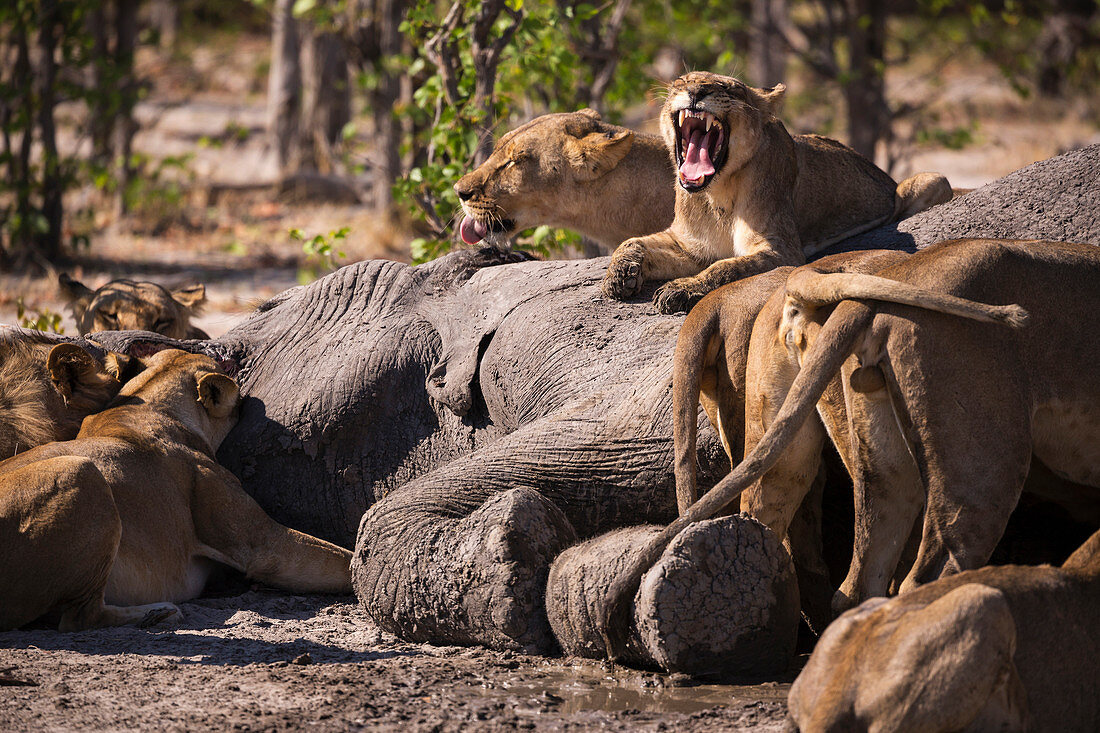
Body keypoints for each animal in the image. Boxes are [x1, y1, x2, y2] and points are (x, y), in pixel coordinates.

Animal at [0, 347, 349, 629]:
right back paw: (158, 613)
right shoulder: (261, 544)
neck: (145, 405)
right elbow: (341, 559)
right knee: (80, 618)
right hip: (80, 472)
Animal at [598, 72, 950, 312]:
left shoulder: (782, 250)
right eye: (681, 82)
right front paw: (619, 276)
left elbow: (725, 267)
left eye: (729, 89)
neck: (716, 194)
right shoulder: (689, 246)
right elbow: (632, 242)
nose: (696, 91)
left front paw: (680, 289)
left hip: (931, 182)